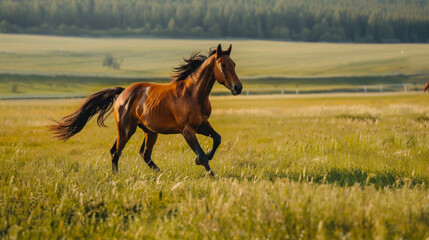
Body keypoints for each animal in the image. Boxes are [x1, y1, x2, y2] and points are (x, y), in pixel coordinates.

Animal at [50, 44, 241, 176]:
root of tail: (123, 92)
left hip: (150, 131)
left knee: (143, 154)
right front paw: (210, 173)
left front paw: (205, 159)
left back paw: (161, 174)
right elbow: (201, 154)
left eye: (234, 63)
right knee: (116, 152)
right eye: (223, 65)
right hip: (126, 130)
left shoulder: (202, 125)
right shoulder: (187, 130)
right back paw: (117, 176)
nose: (238, 87)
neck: (193, 94)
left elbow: (217, 139)